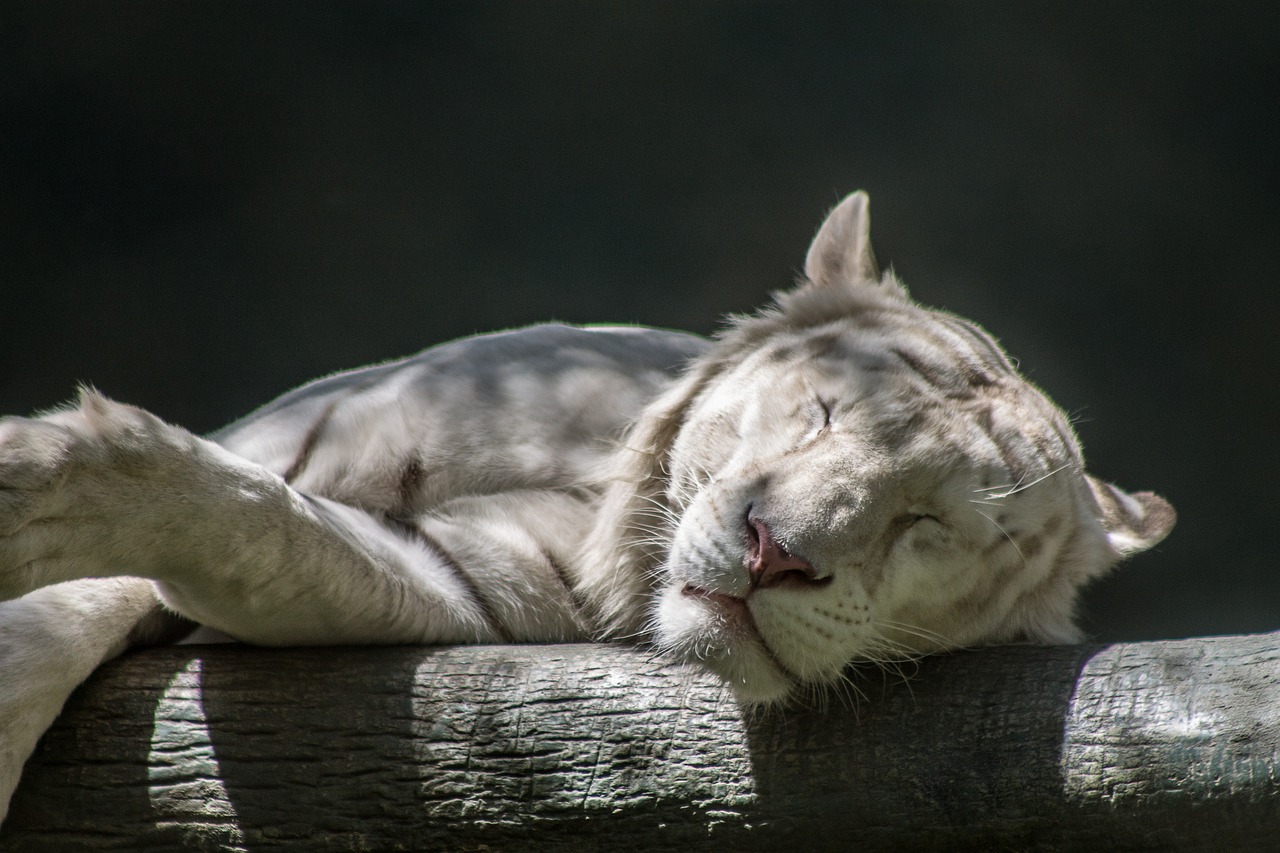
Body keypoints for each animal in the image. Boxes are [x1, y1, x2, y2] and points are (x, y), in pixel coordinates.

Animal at [0, 190, 1172, 819]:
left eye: (935, 525)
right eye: (825, 411)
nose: (773, 553)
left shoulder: (458, 585)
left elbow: (260, 528)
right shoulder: (291, 434)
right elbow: (89, 592)